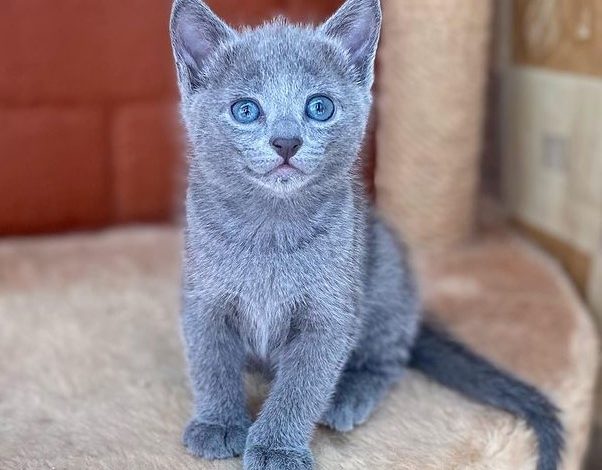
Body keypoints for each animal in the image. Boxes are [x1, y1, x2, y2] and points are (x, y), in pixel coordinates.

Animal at [168, 0, 564, 470]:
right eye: (245, 110)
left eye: (319, 107)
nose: (286, 141)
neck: (271, 228)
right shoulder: (204, 300)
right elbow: (211, 364)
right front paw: (219, 423)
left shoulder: (331, 315)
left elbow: (301, 386)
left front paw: (277, 447)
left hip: (385, 277)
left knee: (388, 360)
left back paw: (348, 396)